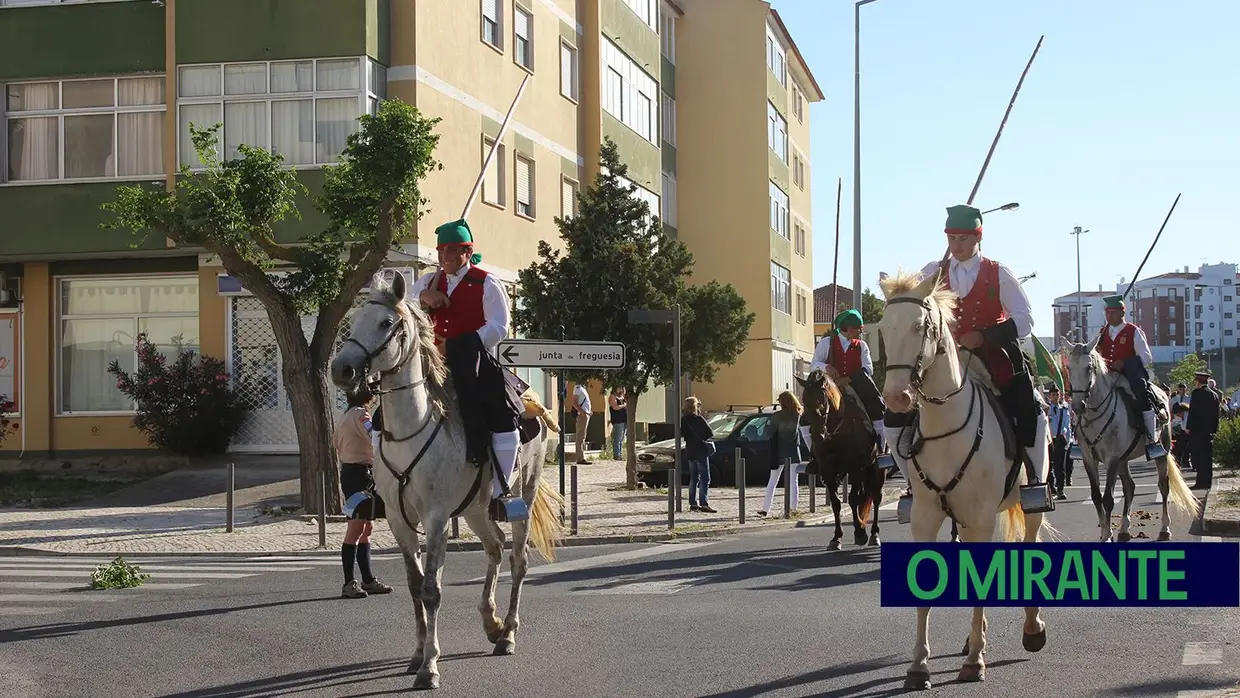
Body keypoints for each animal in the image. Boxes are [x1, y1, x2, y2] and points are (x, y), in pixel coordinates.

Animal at [327, 270, 565, 689]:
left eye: (386, 323)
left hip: (524, 491)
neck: (412, 429)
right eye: (353, 322)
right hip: (474, 508)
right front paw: (417, 654)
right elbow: (414, 585)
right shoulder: (398, 520)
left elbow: (432, 588)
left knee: (518, 559)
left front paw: (430, 666)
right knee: (494, 547)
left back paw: (508, 633)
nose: (342, 370)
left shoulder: (436, 518)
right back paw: (491, 622)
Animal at [798, 369, 887, 547]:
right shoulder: (827, 471)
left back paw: (874, 534)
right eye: (804, 400)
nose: (817, 436)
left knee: (876, 497)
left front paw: (860, 531)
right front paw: (837, 537)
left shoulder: (857, 468)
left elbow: (853, 499)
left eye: (821, 399)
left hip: (877, 470)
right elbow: (836, 503)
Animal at [877, 270, 1051, 689]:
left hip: (1027, 505)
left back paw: (1031, 628)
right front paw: (919, 665)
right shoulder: (925, 518)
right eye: (883, 329)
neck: (946, 429)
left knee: (1031, 543)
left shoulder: (980, 518)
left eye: (920, 326)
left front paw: (974, 662)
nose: (896, 398)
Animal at [1061, 334, 1195, 543]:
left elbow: (1108, 498)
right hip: (1124, 459)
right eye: (1068, 368)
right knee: (1129, 487)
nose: (1077, 406)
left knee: (1163, 486)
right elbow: (1096, 496)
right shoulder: (1089, 459)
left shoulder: (1112, 459)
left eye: (1089, 367)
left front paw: (1108, 535)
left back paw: (1164, 529)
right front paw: (1104, 533)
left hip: (1161, 451)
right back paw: (1124, 529)